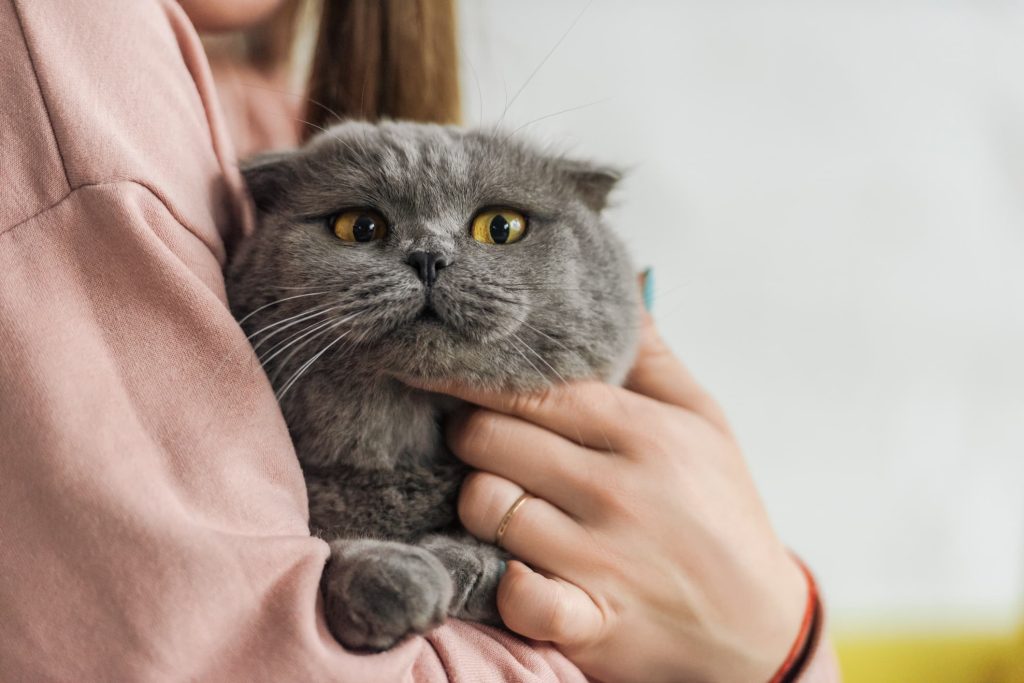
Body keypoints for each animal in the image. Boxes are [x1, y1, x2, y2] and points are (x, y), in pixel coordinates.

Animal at [228, 121, 634, 651]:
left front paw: (462, 562)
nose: (428, 257)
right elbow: (325, 546)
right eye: (359, 226)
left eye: (501, 226)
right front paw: (392, 577)